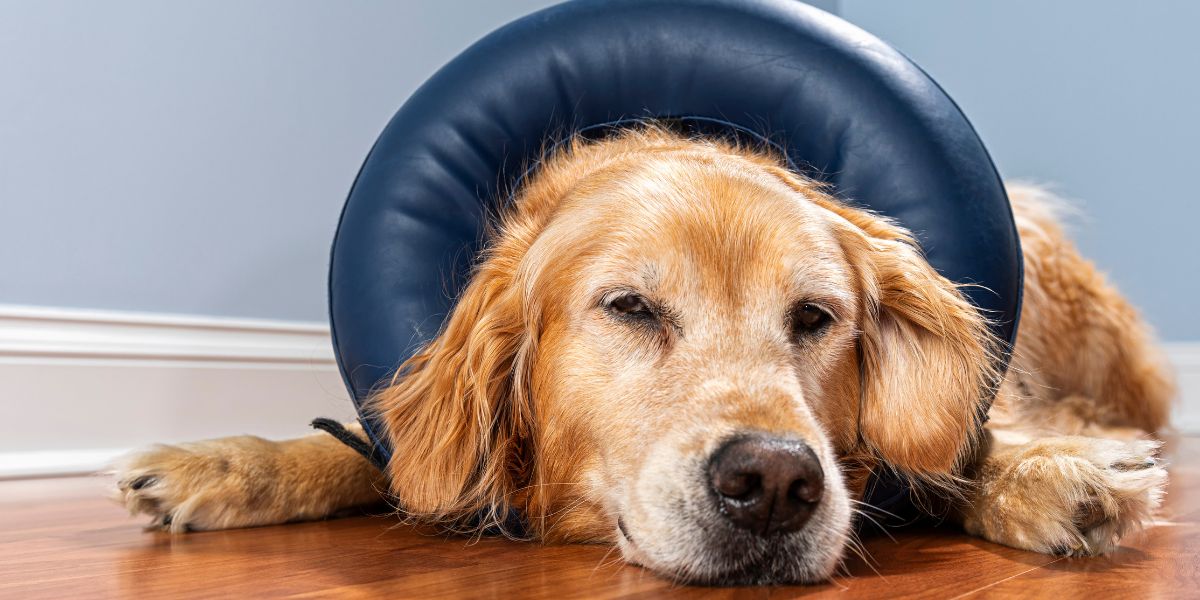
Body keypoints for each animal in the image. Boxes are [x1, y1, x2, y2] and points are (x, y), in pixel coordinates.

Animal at [114, 127, 1171, 585]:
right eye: (629, 308)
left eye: (816, 318)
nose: (774, 484)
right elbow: (384, 459)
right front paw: (217, 465)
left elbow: (955, 454)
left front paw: (1058, 478)